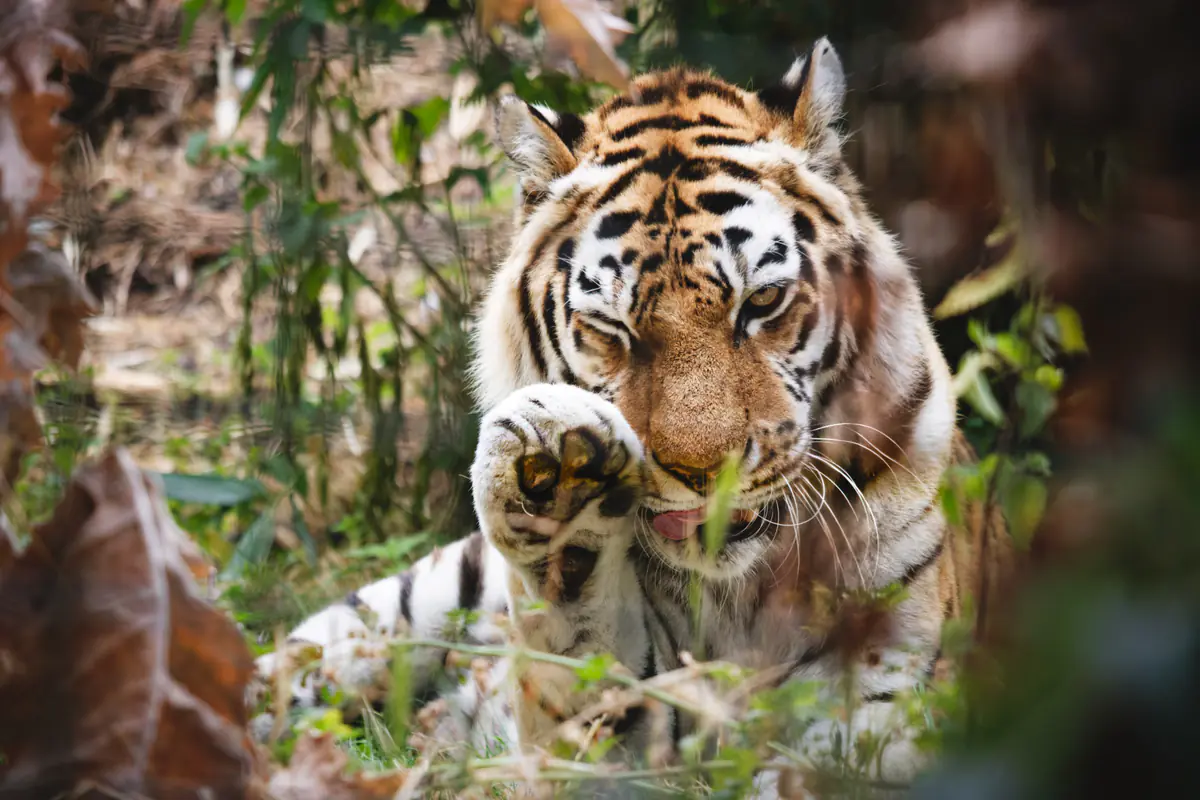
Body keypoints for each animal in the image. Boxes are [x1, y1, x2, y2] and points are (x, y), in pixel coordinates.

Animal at [256, 37, 1009, 792]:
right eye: (612, 328)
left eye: (762, 302)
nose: (702, 472)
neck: (736, 590)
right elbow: (585, 677)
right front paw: (554, 482)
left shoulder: (892, 696)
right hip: (419, 597)